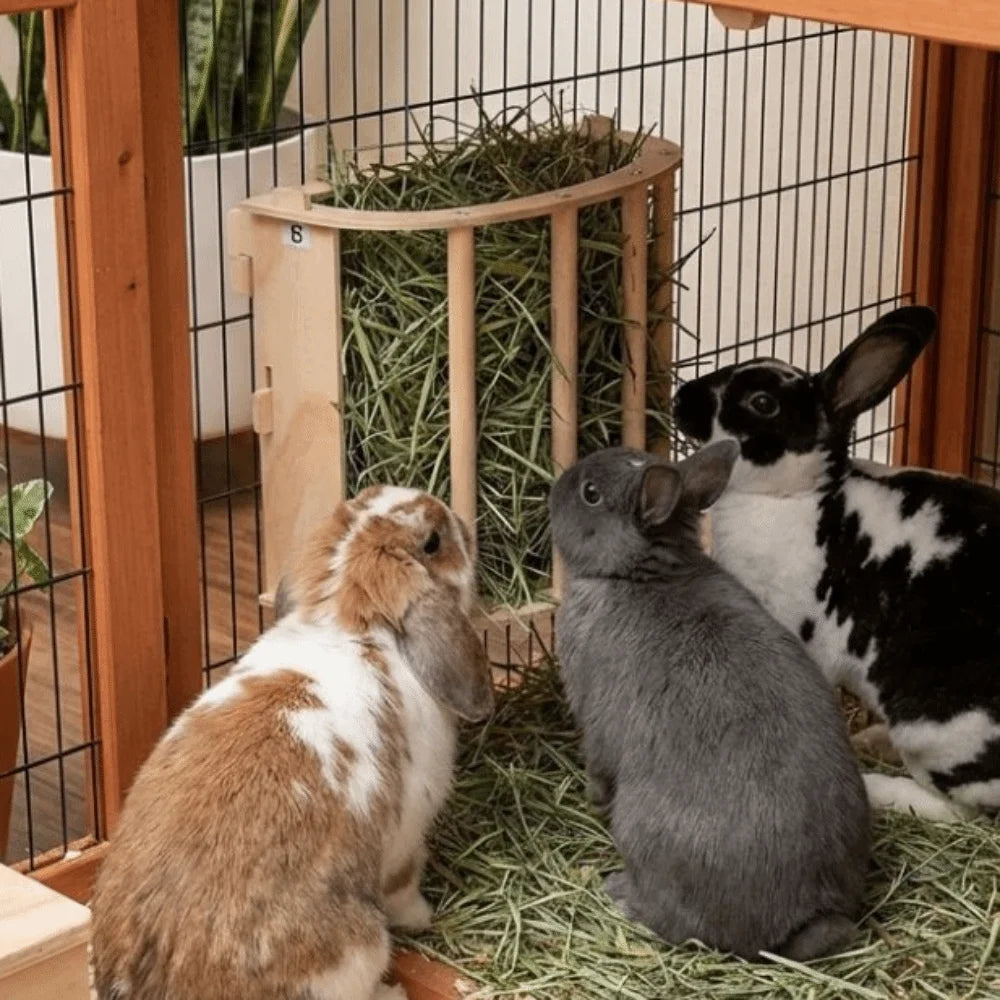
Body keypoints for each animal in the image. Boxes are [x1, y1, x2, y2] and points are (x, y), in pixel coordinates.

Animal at [90, 484, 494, 1000]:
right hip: (357, 951)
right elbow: (404, 886)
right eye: (433, 542)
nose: (461, 521)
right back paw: (392, 991)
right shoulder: (405, 835)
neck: (350, 624)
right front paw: (424, 918)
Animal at [550, 442, 871, 961]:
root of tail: (804, 911)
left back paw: (620, 892)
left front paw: (590, 801)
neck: (636, 575)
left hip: (639, 828)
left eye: (590, 493)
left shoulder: (594, 721)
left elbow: (597, 766)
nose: (555, 487)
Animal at [673, 304, 1000, 822]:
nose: (680, 399)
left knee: (959, 810)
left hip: (939, 732)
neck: (796, 494)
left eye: (762, 402)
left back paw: (877, 785)